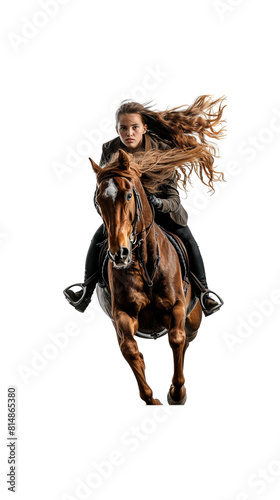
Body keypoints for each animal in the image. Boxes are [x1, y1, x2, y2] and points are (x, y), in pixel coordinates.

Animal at [89, 149, 201, 406]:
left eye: (129, 195)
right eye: (98, 201)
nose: (119, 254)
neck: (145, 262)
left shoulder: (177, 307)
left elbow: (177, 338)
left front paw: (176, 393)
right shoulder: (123, 314)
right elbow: (130, 350)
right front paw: (152, 398)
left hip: (194, 318)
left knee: (187, 338)